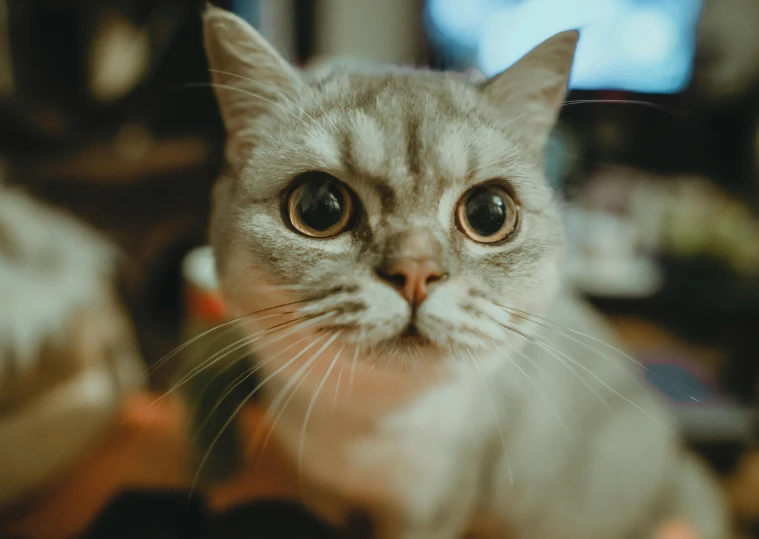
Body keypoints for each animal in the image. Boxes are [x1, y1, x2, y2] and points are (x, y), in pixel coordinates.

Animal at [199, 5, 732, 539]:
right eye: (319, 206)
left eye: (489, 213)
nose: (416, 271)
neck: (371, 428)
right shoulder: (323, 497)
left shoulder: (431, 513)